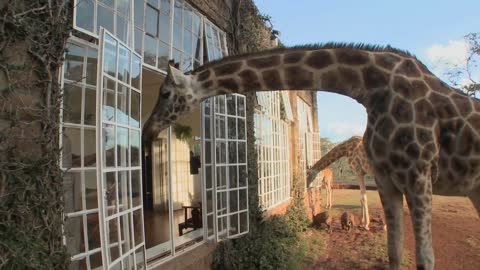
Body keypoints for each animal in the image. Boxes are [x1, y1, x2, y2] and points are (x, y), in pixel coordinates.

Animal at [144, 43, 480, 268]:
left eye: (165, 93)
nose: (147, 129)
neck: (372, 88)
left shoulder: (418, 175)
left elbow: (425, 259)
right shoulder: (386, 178)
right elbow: (393, 252)